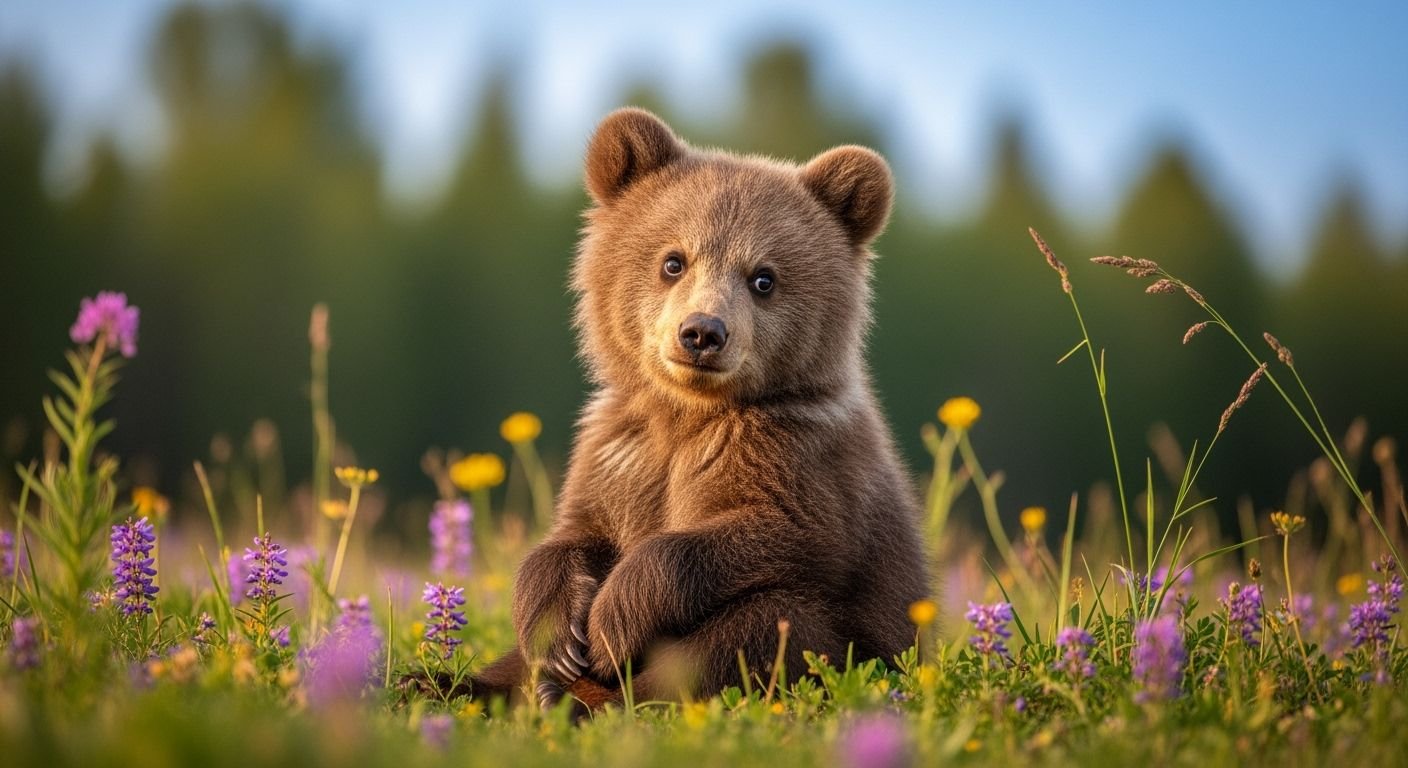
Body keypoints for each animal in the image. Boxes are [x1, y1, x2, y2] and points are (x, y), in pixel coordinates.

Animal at [454, 107, 928, 711]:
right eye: (673, 261)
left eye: (764, 277)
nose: (703, 332)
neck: (687, 413)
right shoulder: (621, 455)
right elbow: (573, 535)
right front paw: (557, 639)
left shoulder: (795, 458)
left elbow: (765, 531)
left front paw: (611, 626)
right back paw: (463, 682)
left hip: (845, 638)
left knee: (759, 631)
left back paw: (583, 701)